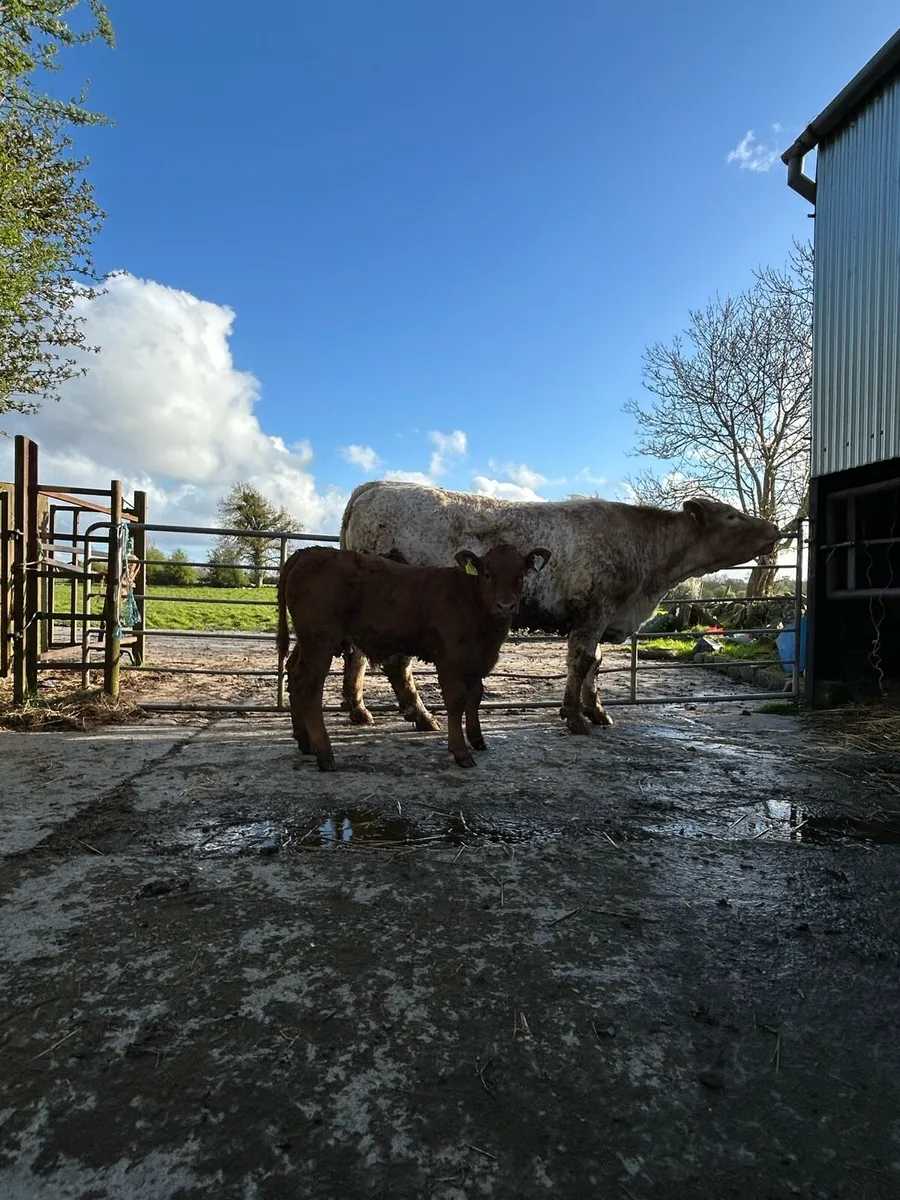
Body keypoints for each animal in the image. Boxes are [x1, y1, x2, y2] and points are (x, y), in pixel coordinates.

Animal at [276, 542, 551, 771]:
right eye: (487, 574)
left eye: (520, 574)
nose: (506, 606)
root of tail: (308, 552)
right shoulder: (450, 660)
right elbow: (456, 702)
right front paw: (461, 752)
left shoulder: (477, 659)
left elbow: (475, 696)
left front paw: (477, 739)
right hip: (320, 642)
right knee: (310, 688)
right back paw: (325, 755)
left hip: (308, 641)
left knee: (295, 676)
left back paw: (305, 742)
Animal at [339, 482, 781, 736]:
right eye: (731, 516)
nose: (775, 529)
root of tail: (378, 487)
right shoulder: (594, 610)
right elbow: (582, 661)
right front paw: (576, 717)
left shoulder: (600, 617)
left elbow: (595, 664)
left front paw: (596, 711)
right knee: (395, 662)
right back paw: (420, 715)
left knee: (357, 654)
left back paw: (359, 709)